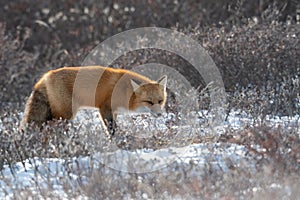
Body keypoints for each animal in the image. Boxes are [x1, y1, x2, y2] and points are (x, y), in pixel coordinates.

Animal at [20, 66, 166, 134]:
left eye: (160, 101)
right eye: (149, 102)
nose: (159, 114)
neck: (126, 91)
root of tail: (46, 76)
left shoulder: (114, 112)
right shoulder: (105, 108)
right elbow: (111, 130)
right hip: (65, 115)